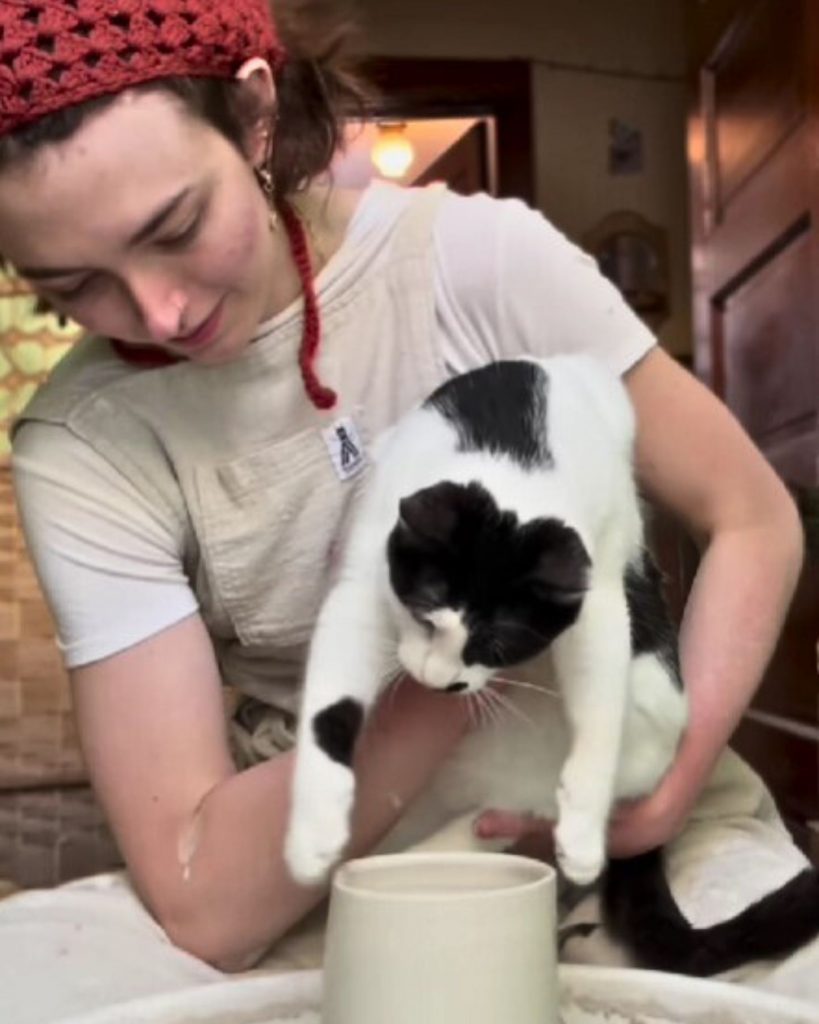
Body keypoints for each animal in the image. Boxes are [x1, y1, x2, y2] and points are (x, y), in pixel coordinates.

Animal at [282, 356, 818, 978]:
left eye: (500, 646)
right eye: (425, 618)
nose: (440, 683)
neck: (514, 466)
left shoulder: (596, 591)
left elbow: (600, 698)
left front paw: (582, 830)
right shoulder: (366, 577)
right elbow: (330, 704)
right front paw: (314, 832)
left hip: (639, 723)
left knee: (510, 812)